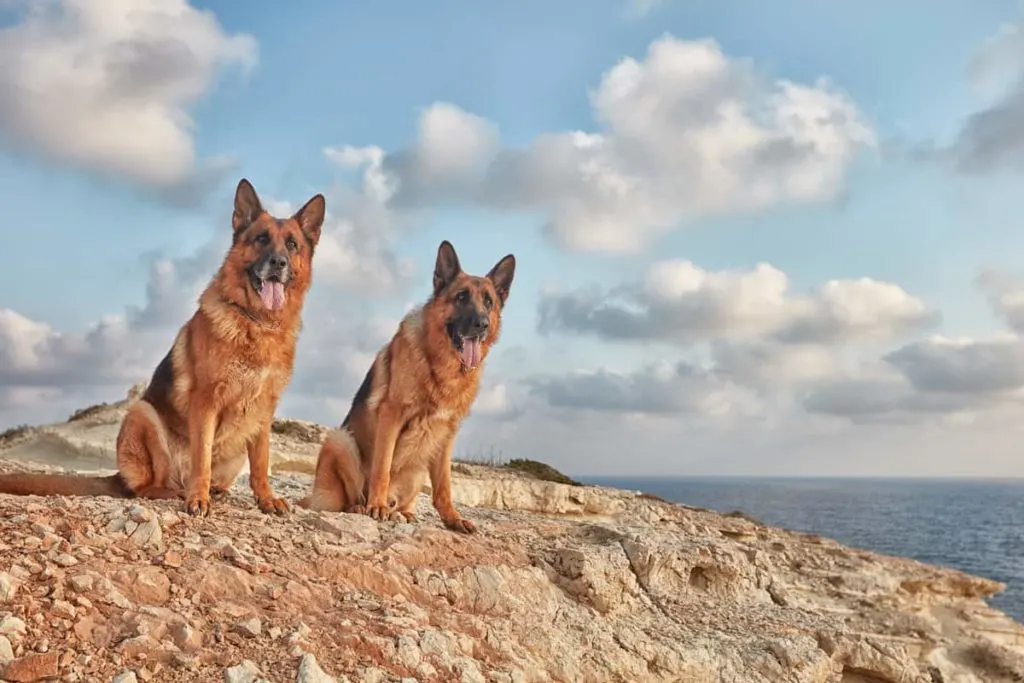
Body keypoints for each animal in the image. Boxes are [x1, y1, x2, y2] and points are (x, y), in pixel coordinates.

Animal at [0, 179, 323, 516]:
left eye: (292, 245)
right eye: (261, 239)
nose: (278, 263)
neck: (256, 322)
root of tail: (119, 476)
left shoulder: (263, 410)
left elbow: (260, 462)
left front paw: (266, 498)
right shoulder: (206, 401)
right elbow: (202, 457)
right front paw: (198, 497)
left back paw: (216, 490)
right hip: (143, 415)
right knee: (147, 487)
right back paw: (180, 492)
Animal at [299, 240, 516, 532]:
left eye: (489, 302)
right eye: (461, 297)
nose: (481, 324)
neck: (441, 365)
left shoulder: (447, 433)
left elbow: (444, 486)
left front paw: (452, 518)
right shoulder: (392, 415)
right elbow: (382, 468)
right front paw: (376, 506)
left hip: (418, 467)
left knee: (404, 500)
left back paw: (405, 512)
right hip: (340, 440)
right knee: (351, 497)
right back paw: (364, 506)